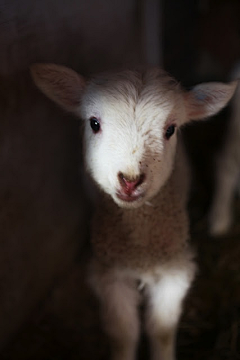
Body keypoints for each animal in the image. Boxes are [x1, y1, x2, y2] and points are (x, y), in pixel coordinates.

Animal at [30, 64, 236, 360]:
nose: (130, 180)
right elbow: (123, 334)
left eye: (171, 129)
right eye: (94, 123)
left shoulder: (174, 272)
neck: (140, 249)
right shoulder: (111, 274)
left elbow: (161, 331)